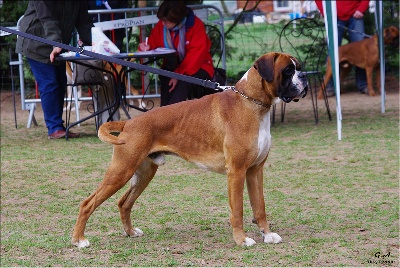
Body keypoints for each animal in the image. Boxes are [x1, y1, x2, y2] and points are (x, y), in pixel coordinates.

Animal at [72, 51, 308, 248]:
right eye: (288, 70)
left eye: (298, 67)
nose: (305, 75)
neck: (252, 103)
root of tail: (129, 123)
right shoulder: (237, 172)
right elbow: (238, 210)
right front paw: (241, 240)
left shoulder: (255, 171)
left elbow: (260, 206)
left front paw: (267, 235)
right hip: (121, 171)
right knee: (87, 203)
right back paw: (79, 240)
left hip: (143, 173)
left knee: (124, 203)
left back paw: (130, 232)